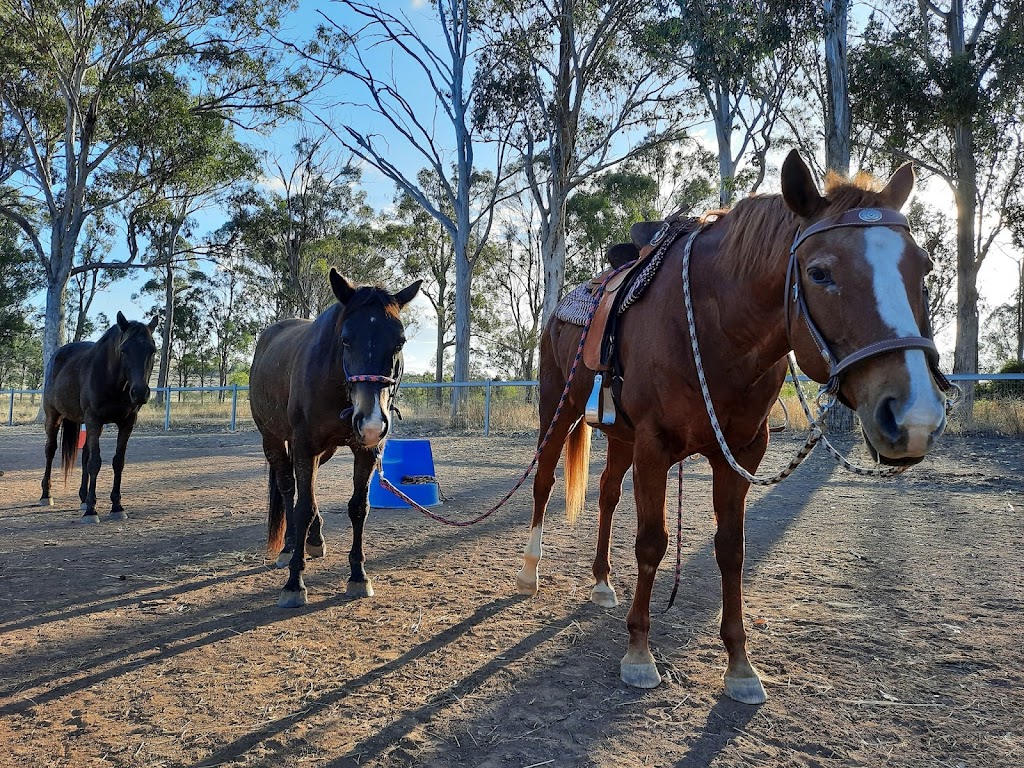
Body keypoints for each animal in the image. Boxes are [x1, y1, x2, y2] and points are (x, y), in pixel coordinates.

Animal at [39, 313, 157, 524]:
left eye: (152, 350)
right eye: (124, 350)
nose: (140, 392)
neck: (113, 381)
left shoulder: (126, 424)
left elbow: (118, 462)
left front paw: (116, 506)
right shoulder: (94, 420)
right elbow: (95, 462)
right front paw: (91, 511)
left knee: (84, 455)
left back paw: (83, 498)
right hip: (53, 417)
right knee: (50, 450)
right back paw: (46, 495)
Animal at [248, 268, 419, 610]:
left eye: (400, 341)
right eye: (346, 339)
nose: (371, 421)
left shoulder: (366, 451)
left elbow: (358, 508)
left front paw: (358, 576)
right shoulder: (303, 445)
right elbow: (302, 507)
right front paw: (294, 583)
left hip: (321, 451)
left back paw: (314, 539)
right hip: (273, 440)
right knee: (288, 488)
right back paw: (289, 547)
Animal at [520, 150, 950, 704]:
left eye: (923, 268)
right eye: (819, 273)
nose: (916, 415)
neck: (716, 323)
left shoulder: (741, 453)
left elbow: (731, 550)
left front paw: (740, 666)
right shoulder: (655, 445)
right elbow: (652, 541)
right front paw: (639, 653)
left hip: (620, 435)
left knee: (608, 494)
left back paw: (601, 582)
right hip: (559, 406)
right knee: (543, 480)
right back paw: (529, 572)